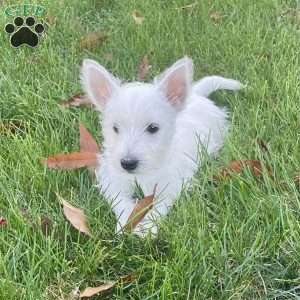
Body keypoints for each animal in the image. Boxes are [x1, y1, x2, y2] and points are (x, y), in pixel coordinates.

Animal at [81, 56, 243, 237]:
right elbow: (119, 200)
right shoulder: (112, 178)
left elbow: (159, 206)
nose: (128, 163)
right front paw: (126, 222)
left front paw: (147, 228)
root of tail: (196, 94)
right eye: (115, 128)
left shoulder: (173, 183)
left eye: (153, 128)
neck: (143, 174)